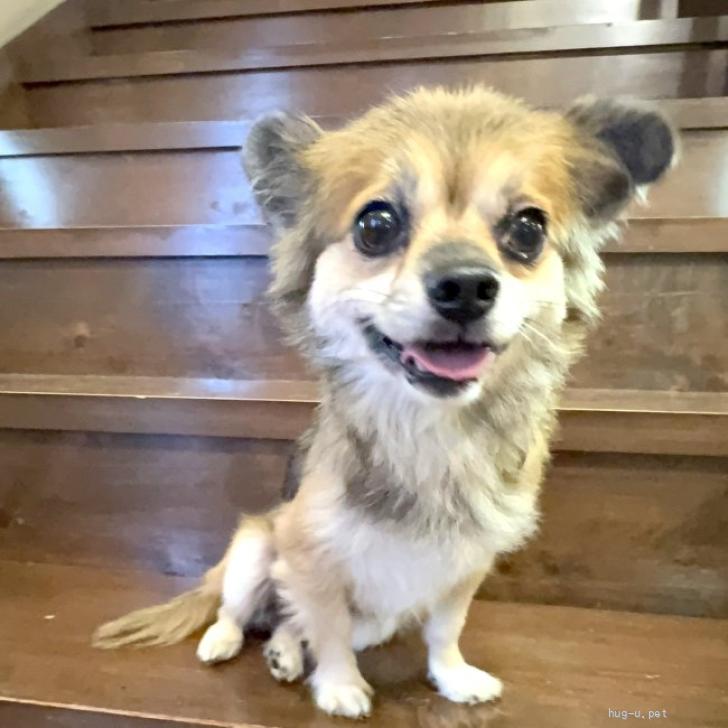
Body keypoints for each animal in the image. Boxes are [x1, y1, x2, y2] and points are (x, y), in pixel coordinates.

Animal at [94, 87, 676, 719]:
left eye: (528, 229)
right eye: (376, 224)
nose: (465, 285)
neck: (430, 431)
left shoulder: (464, 566)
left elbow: (443, 629)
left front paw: (452, 677)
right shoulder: (310, 555)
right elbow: (326, 627)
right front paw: (340, 687)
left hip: (371, 618)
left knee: (287, 622)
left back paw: (283, 653)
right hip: (254, 548)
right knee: (236, 606)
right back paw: (226, 641)